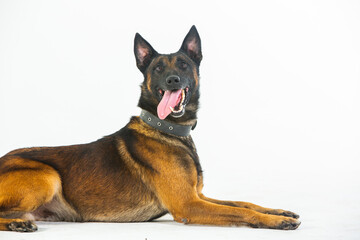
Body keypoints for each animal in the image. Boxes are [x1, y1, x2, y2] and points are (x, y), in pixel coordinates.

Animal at [0, 25, 300, 232]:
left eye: (184, 64)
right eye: (157, 68)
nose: (172, 80)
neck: (168, 129)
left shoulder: (198, 195)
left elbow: (244, 203)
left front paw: (278, 212)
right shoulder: (188, 204)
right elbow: (242, 212)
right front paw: (274, 222)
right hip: (48, 175)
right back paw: (17, 224)